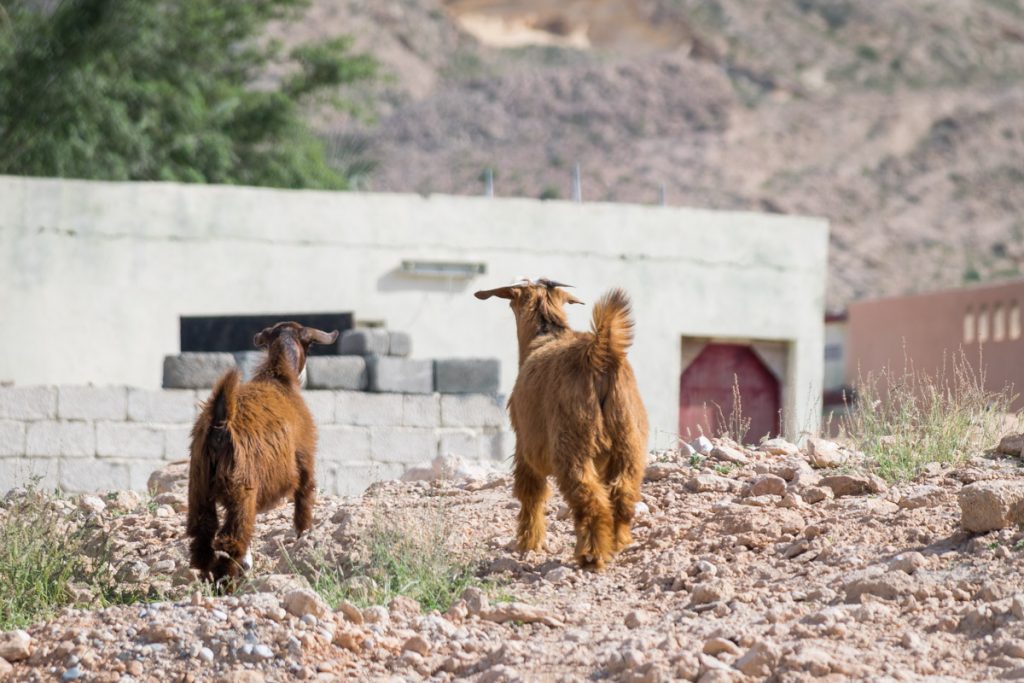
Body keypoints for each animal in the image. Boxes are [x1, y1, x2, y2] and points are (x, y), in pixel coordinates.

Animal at [186, 323, 337, 585]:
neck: (278, 377)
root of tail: (220, 422)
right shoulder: (305, 459)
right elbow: (304, 503)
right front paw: (304, 537)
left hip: (199, 487)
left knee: (202, 536)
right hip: (242, 488)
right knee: (231, 539)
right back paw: (228, 582)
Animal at [473, 278, 647, 573]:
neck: (545, 336)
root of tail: (598, 354)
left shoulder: (525, 444)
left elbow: (531, 493)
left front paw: (528, 542)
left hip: (572, 445)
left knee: (590, 500)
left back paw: (590, 555)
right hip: (629, 442)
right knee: (622, 494)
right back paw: (618, 543)